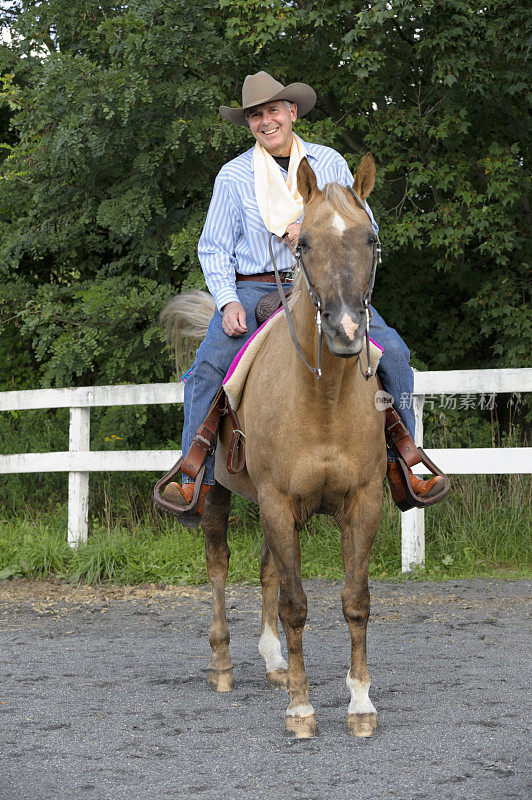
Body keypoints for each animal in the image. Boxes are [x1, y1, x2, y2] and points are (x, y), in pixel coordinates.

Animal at [164, 155, 384, 736]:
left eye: (371, 238)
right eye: (302, 243)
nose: (346, 330)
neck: (322, 400)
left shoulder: (362, 503)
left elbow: (354, 602)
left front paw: (360, 704)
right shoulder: (279, 503)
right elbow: (295, 605)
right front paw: (302, 710)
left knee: (265, 569)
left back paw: (274, 663)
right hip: (218, 492)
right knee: (219, 564)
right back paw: (222, 663)